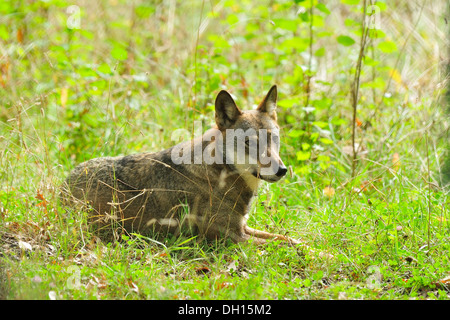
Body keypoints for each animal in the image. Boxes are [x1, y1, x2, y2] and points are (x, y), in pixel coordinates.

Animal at [63, 85, 300, 245]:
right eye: (249, 142)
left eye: (274, 139)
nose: (282, 170)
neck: (219, 173)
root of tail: (62, 187)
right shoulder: (232, 236)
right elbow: (280, 245)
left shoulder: (243, 227)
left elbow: (288, 239)